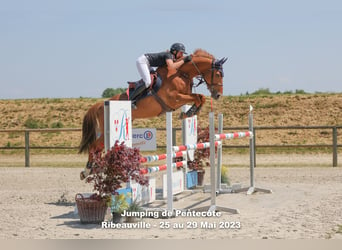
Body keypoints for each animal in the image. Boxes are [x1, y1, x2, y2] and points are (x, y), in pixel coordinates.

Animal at [78, 48, 226, 180]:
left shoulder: (180, 99)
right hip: (106, 131)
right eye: (218, 74)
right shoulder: (175, 98)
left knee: (98, 148)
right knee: (94, 146)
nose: (218, 95)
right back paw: (88, 169)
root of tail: (100, 105)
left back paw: (91, 169)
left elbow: (200, 97)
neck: (181, 73)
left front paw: (190, 112)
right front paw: (189, 112)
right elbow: (198, 97)